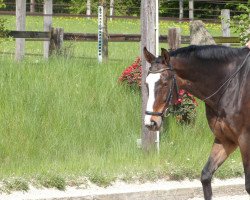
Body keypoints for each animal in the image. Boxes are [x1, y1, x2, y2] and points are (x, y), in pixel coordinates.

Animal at [144, 45, 250, 200]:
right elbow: (206, 176)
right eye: (146, 84)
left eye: (164, 83)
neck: (232, 86)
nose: (150, 123)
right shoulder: (225, 140)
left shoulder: (245, 141)